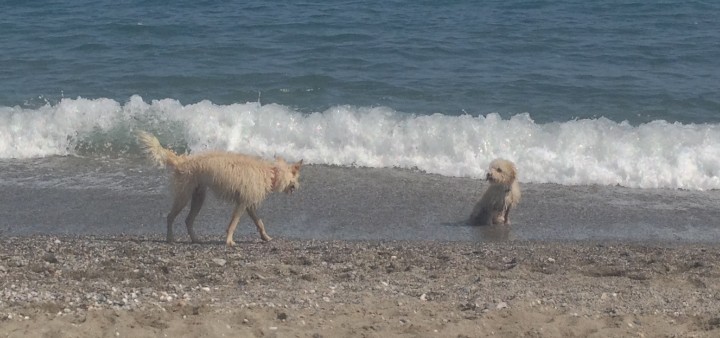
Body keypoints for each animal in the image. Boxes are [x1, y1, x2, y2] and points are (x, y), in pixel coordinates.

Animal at [136, 131, 302, 246]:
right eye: (296, 176)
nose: (298, 187)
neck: (271, 173)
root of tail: (181, 161)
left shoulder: (248, 204)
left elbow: (259, 222)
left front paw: (265, 237)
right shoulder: (241, 204)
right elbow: (233, 224)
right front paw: (229, 241)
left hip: (198, 197)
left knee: (188, 220)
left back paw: (195, 239)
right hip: (183, 196)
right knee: (170, 217)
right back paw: (170, 237)